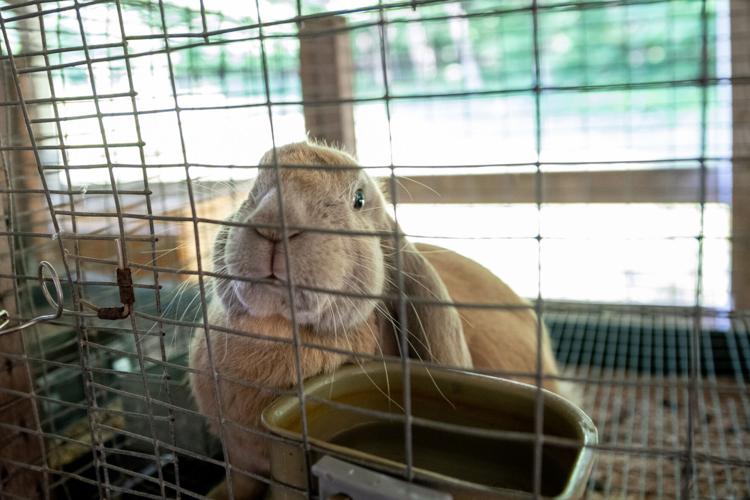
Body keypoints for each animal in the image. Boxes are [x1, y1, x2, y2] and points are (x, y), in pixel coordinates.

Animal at [188, 141, 564, 500]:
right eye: (256, 184)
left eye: (358, 199)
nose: (274, 223)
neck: (278, 329)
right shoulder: (240, 460)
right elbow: (239, 484)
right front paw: (216, 495)